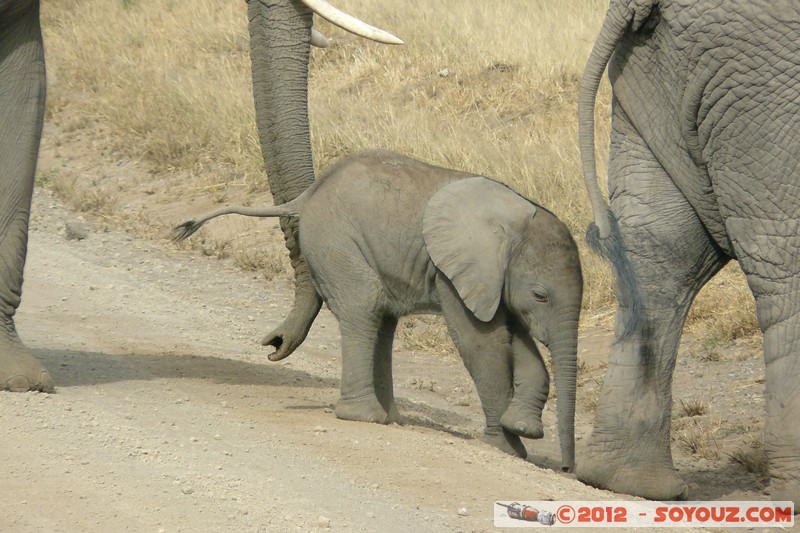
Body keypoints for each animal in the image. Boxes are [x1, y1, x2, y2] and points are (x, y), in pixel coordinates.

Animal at [178, 150, 584, 470]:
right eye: (540, 295)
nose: (567, 469)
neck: (515, 224)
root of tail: (308, 196)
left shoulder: (493, 281)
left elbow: (518, 341)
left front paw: (523, 429)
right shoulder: (455, 272)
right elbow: (483, 341)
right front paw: (507, 449)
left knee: (383, 321)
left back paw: (389, 419)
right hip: (335, 241)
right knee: (364, 307)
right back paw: (365, 417)